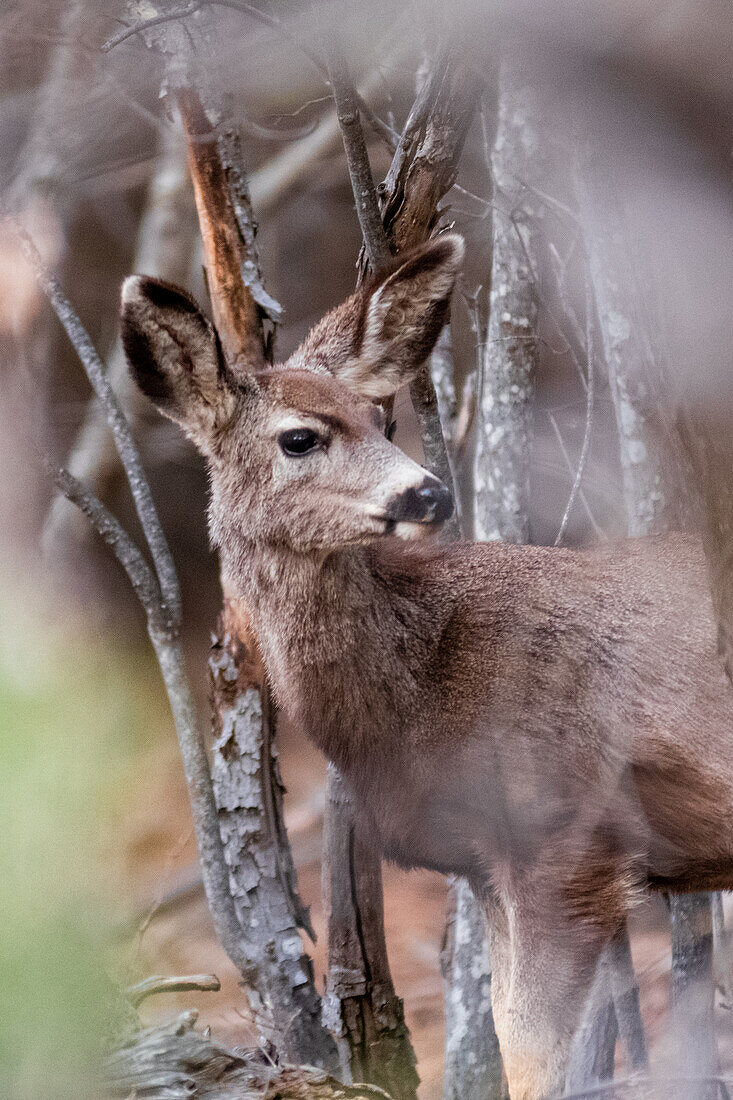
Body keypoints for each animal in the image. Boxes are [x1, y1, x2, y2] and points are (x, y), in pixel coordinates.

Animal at [119, 232, 733, 1100]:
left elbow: (532, 1050)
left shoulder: (567, 832)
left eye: (381, 418)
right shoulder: (485, 862)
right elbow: (514, 1034)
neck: (420, 692)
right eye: (300, 436)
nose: (430, 493)